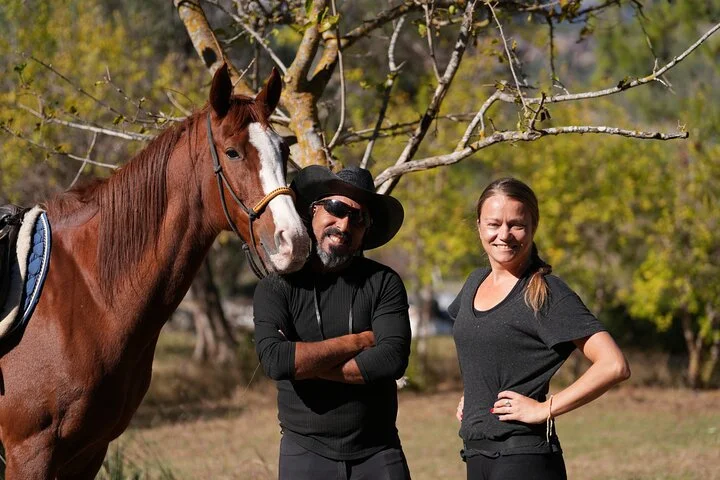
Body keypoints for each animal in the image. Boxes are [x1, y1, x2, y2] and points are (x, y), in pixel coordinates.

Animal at [0, 64, 311, 479]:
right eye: (232, 152)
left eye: (284, 149)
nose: (295, 241)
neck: (89, 295)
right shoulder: (30, 453)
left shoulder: (88, 452)